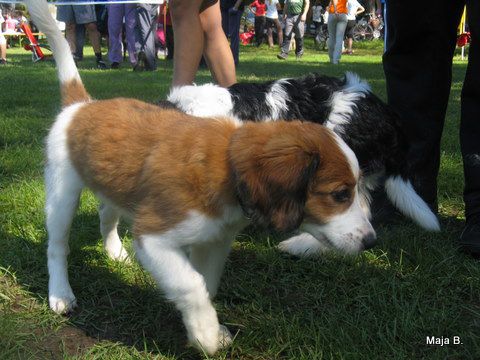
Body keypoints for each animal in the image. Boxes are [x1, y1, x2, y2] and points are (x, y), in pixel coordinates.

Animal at [28, 0, 376, 354]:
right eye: (339, 195)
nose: (371, 242)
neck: (227, 168)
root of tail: (82, 105)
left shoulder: (213, 240)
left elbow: (206, 282)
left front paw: (202, 326)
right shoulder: (154, 236)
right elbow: (191, 284)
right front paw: (206, 335)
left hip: (112, 183)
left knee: (106, 215)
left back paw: (114, 252)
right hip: (62, 192)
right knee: (57, 246)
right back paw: (60, 294)